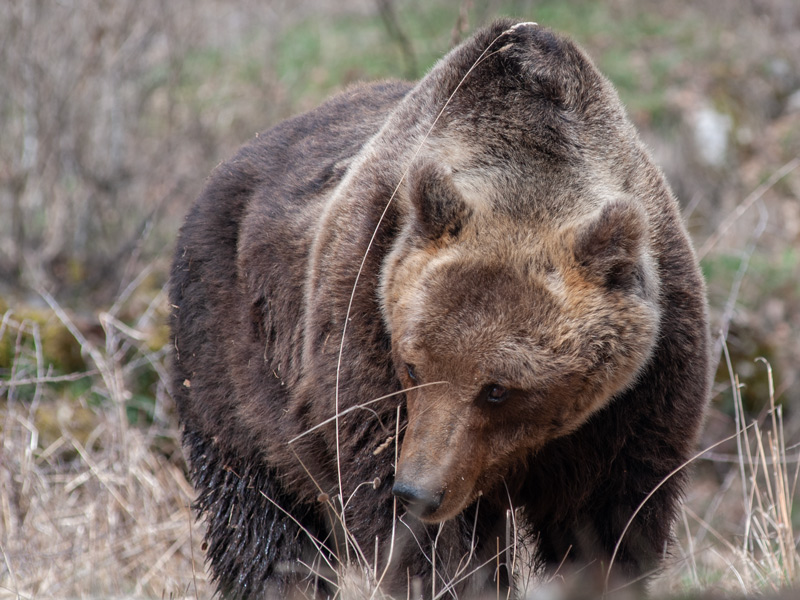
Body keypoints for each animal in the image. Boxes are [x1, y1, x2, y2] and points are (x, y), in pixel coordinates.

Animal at [170, 18, 712, 600]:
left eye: (499, 388)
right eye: (412, 366)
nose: (418, 492)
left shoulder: (637, 395)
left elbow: (608, 527)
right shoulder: (365, 312)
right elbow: (419, 538)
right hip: (232, 359)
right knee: (260, 521)